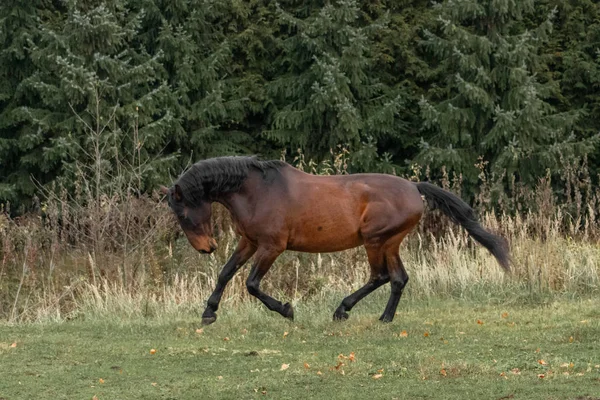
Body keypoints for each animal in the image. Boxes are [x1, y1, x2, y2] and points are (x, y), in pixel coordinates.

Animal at [162, 156, 508, 324]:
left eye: (184, 215)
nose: (206, 248)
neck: (257, 191)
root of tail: (414, 187)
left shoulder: (272, 247)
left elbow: (251, 284)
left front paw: (286, 310)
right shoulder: (249, 242)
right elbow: (226, 273)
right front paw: (209, 313)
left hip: (375, 240)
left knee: (381, 276)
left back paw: (343, 310)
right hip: (390, 242)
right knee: (398, 278)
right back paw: (384, 318)